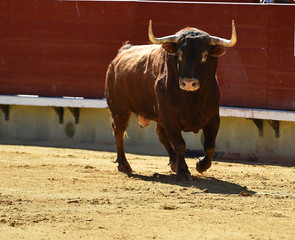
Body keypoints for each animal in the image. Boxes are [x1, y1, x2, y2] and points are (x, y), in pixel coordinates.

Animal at [105, 20, 237, 181]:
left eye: (205, 55)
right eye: (179, 54)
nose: (188, 83)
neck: (192, 98)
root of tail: (121, 54)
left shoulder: (213, 119)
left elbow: (210, 146)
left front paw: (200, 165)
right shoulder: (170, 119)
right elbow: (180, 145)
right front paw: (184, 171)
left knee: (160, 134)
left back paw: (173, 163)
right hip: (119, 108)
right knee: (119, 131)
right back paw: (123, 164)